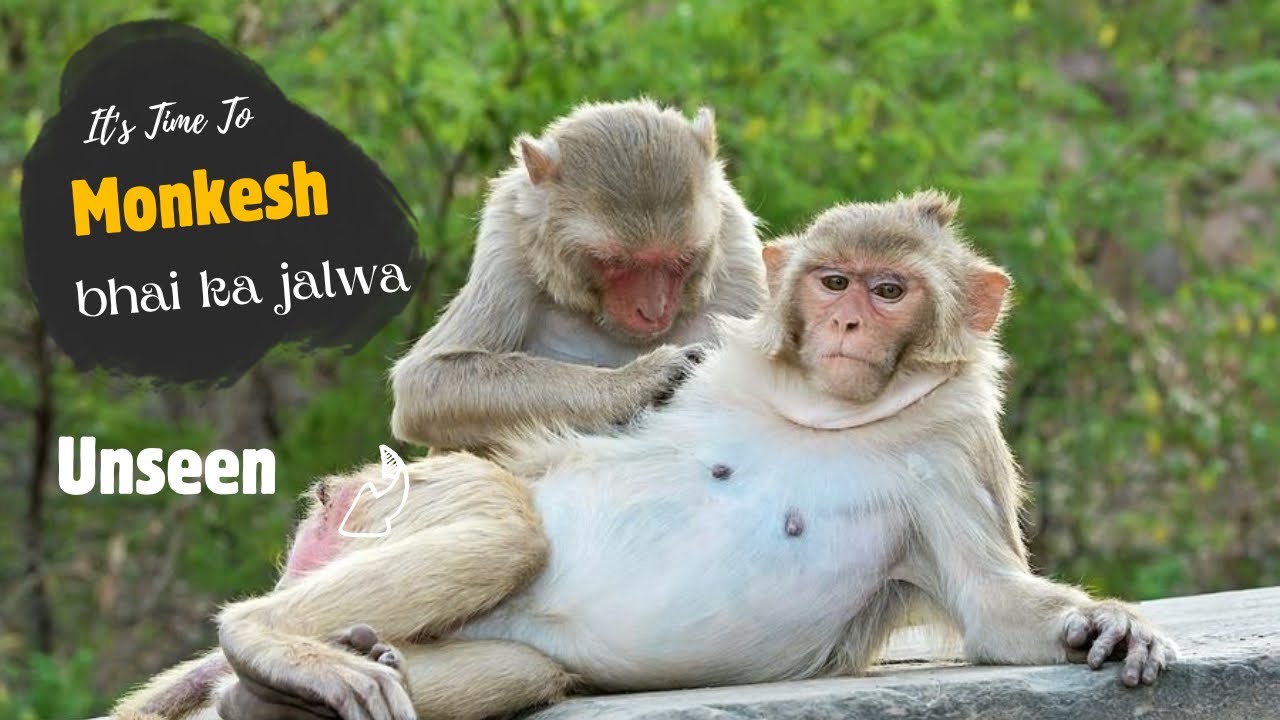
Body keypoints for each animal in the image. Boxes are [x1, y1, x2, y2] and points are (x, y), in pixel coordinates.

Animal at [114, 190, 1176, 720]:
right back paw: (267, 643)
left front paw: (1101, 626)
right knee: (506, 524)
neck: (832, 413)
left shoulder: (955, 444)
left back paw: (262, 700)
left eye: (889, 291)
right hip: (391, 499)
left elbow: (993, 607)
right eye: (833, 281)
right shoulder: (721, 347)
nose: (843, 322)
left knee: (523, 671)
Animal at [389, 98, 767, 452]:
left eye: (683, 259)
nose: (652, 311)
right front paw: (640, 380)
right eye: (613, 261)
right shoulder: (506, 239)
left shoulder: (737, 245)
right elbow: (426, 382)